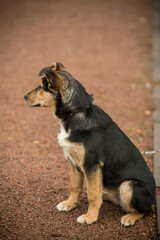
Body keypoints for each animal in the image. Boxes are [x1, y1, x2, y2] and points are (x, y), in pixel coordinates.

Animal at [24, 62, 156, 227]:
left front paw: (90, 217)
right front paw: (69, 204)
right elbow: (75, 186)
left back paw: (129, 218)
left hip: (128, 186)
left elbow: (92, 195)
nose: (24, 97)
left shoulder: (91, 164)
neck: (76, 113)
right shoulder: (73, 162)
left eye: (41, 87)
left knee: (145, 210)